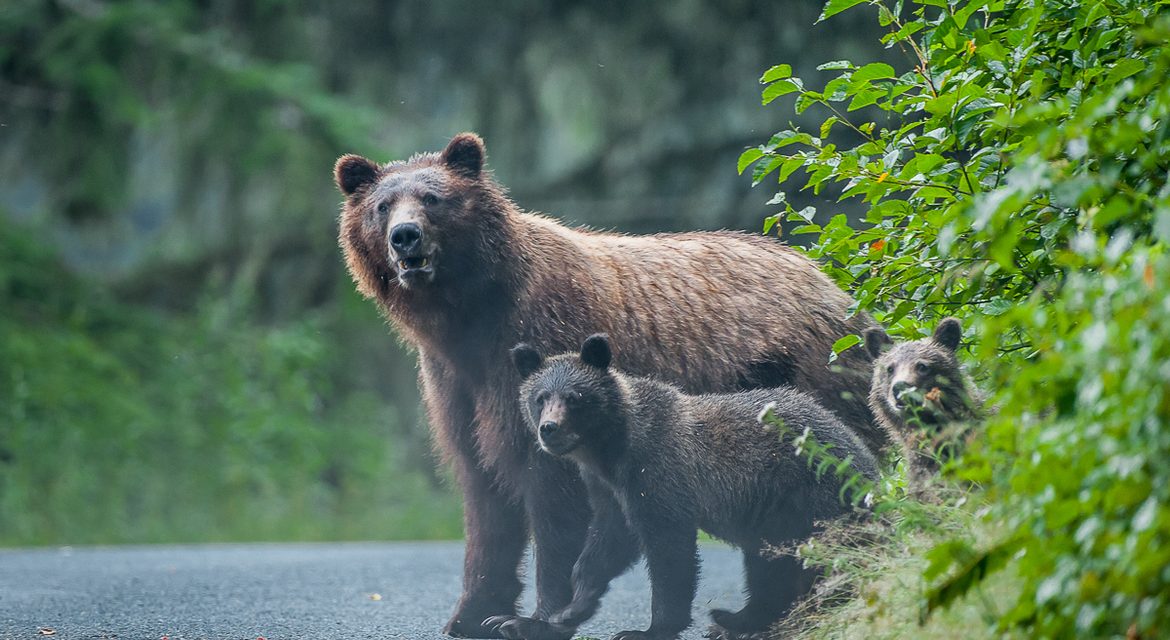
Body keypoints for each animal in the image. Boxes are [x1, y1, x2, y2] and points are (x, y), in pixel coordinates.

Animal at [487, 334, 879, 640]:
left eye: (575, 396)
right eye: (540, 397)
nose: (549, 429)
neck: (612, 449)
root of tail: (862, 451)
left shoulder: (660, 472)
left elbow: (669, 551)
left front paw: (646, 628)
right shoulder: (609, 490)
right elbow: (605, 544)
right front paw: (553, 613)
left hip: (811, 494)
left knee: (827, 555)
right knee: (767, 563)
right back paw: (736, 620)